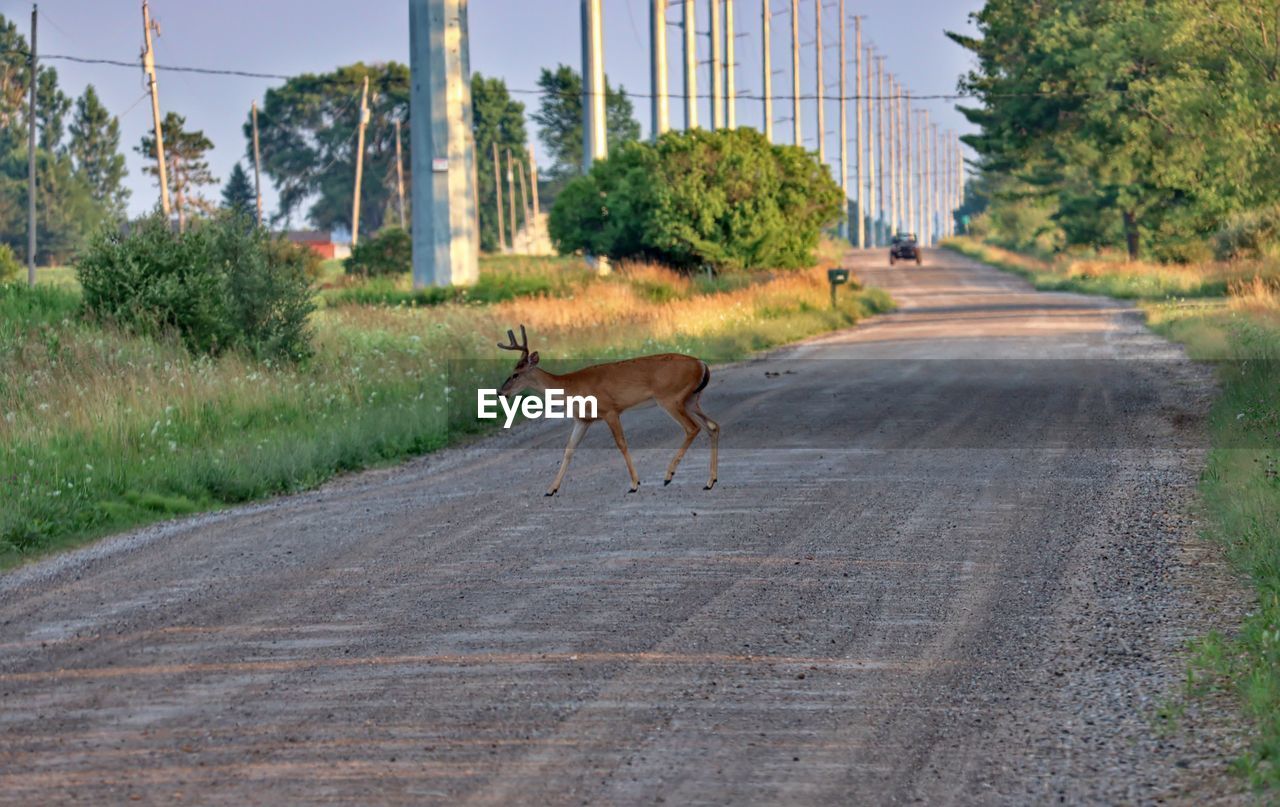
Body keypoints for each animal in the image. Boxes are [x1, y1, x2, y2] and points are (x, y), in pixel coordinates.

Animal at [496, 325, 721, 497]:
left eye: (515, 374)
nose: (500, 392)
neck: (570, 387)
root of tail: (702, 364)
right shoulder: (583, 419)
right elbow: (568, 449)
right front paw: (551, 489)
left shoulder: (610, 410)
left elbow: (621, 444)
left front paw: (634, 484)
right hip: (691, 400)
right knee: (713, 426)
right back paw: (710, 481)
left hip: (670, 398)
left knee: (692, 428)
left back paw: (668, 475)